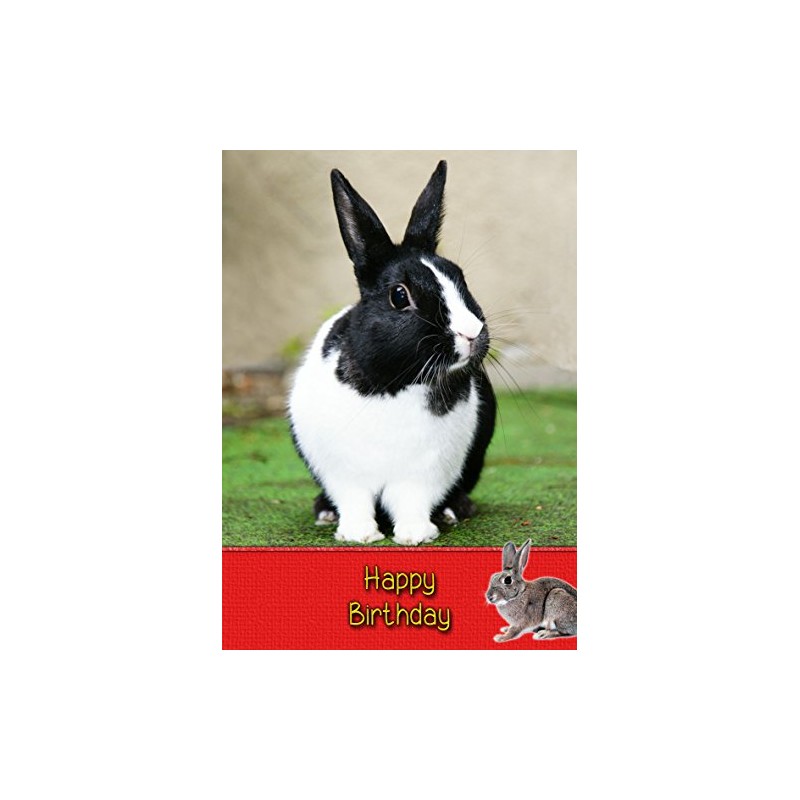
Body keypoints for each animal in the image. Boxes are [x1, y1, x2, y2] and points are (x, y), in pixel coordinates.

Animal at [288, 160, 496, 545]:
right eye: (400, 296)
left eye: (460, 278)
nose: (472, 333)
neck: (395, 383)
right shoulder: (344, 473)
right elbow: (354, 501)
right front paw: (358, 535)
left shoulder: (424, 473)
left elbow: (412, 501)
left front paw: (415, 535)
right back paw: (324, 512)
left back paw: (453, 510)